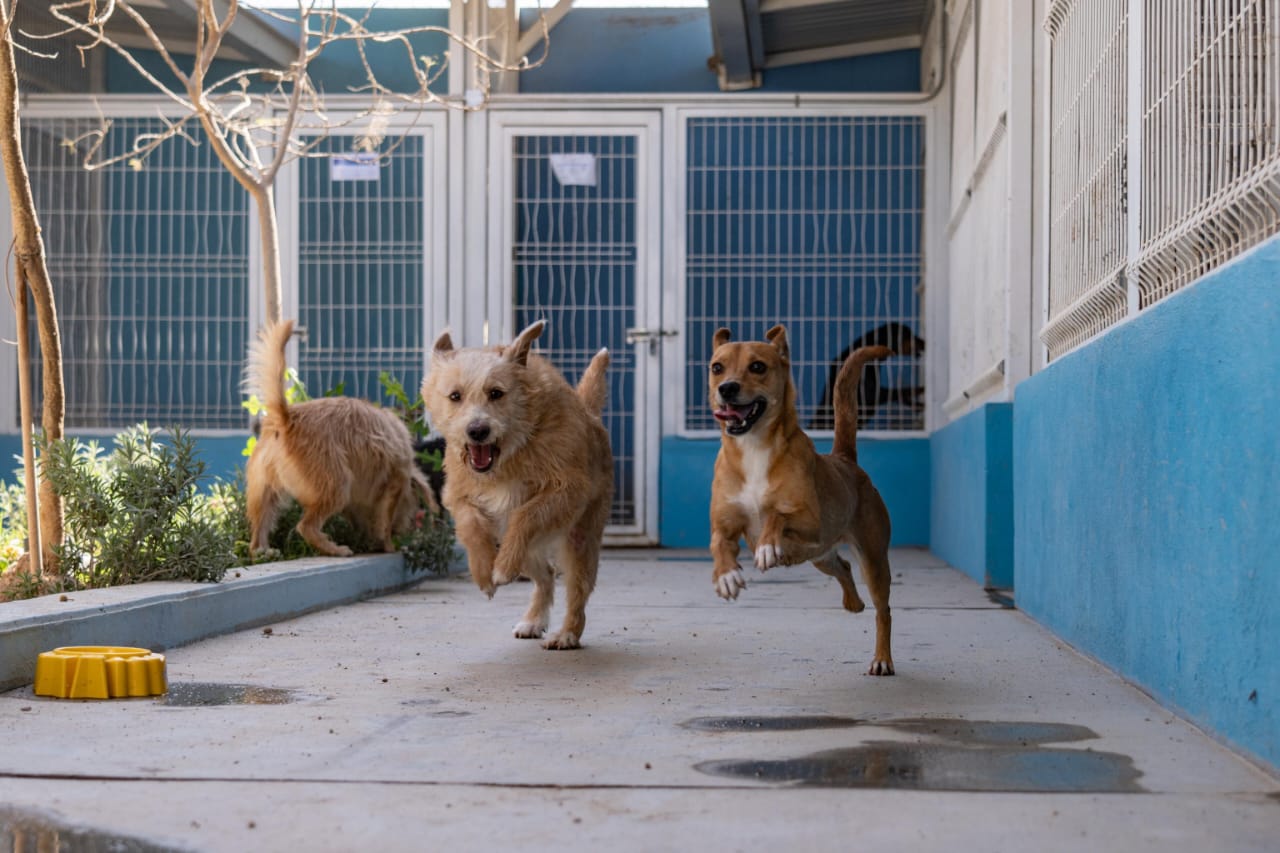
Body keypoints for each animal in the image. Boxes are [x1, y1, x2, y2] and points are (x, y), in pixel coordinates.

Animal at [241, 322, 437, 555]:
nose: (406, 528)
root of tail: (286, 418)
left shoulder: (357, 502)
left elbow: (362, 520)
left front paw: (369, 539)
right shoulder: (394, 482)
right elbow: (385, 521)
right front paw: (388, 545)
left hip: (266, 493)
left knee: (257, 535)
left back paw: (264, 551)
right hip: (336, 485)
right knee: (306, 526)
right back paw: (335, 549)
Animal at [422, 317, 611, 645]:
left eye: (496, 393)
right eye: (455, 396)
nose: (477, 431)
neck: (510, 456)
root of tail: (590, 413)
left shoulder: (567, 490)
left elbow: (526, 514)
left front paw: (499, 570)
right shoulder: (458, 494)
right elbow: (470, 524)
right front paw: (484, 572)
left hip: (580, 538)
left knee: (577, 589)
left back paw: (567, 633)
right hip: (520, 544)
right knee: (545, 574)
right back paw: (533, 619)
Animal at [706, 324, 896, 671]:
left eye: (758, 366)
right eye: (717, 367)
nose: (726, 388)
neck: (753, 448)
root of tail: (845, 460)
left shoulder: (812, 523)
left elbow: (777, 515)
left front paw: (767, 546)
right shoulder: (724, 525)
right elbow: (718, 545)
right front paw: (726, 575)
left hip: (872, 559)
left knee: (883, 611)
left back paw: (882, 659)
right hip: (820, 556)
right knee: (842, 566)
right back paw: (853, 602)